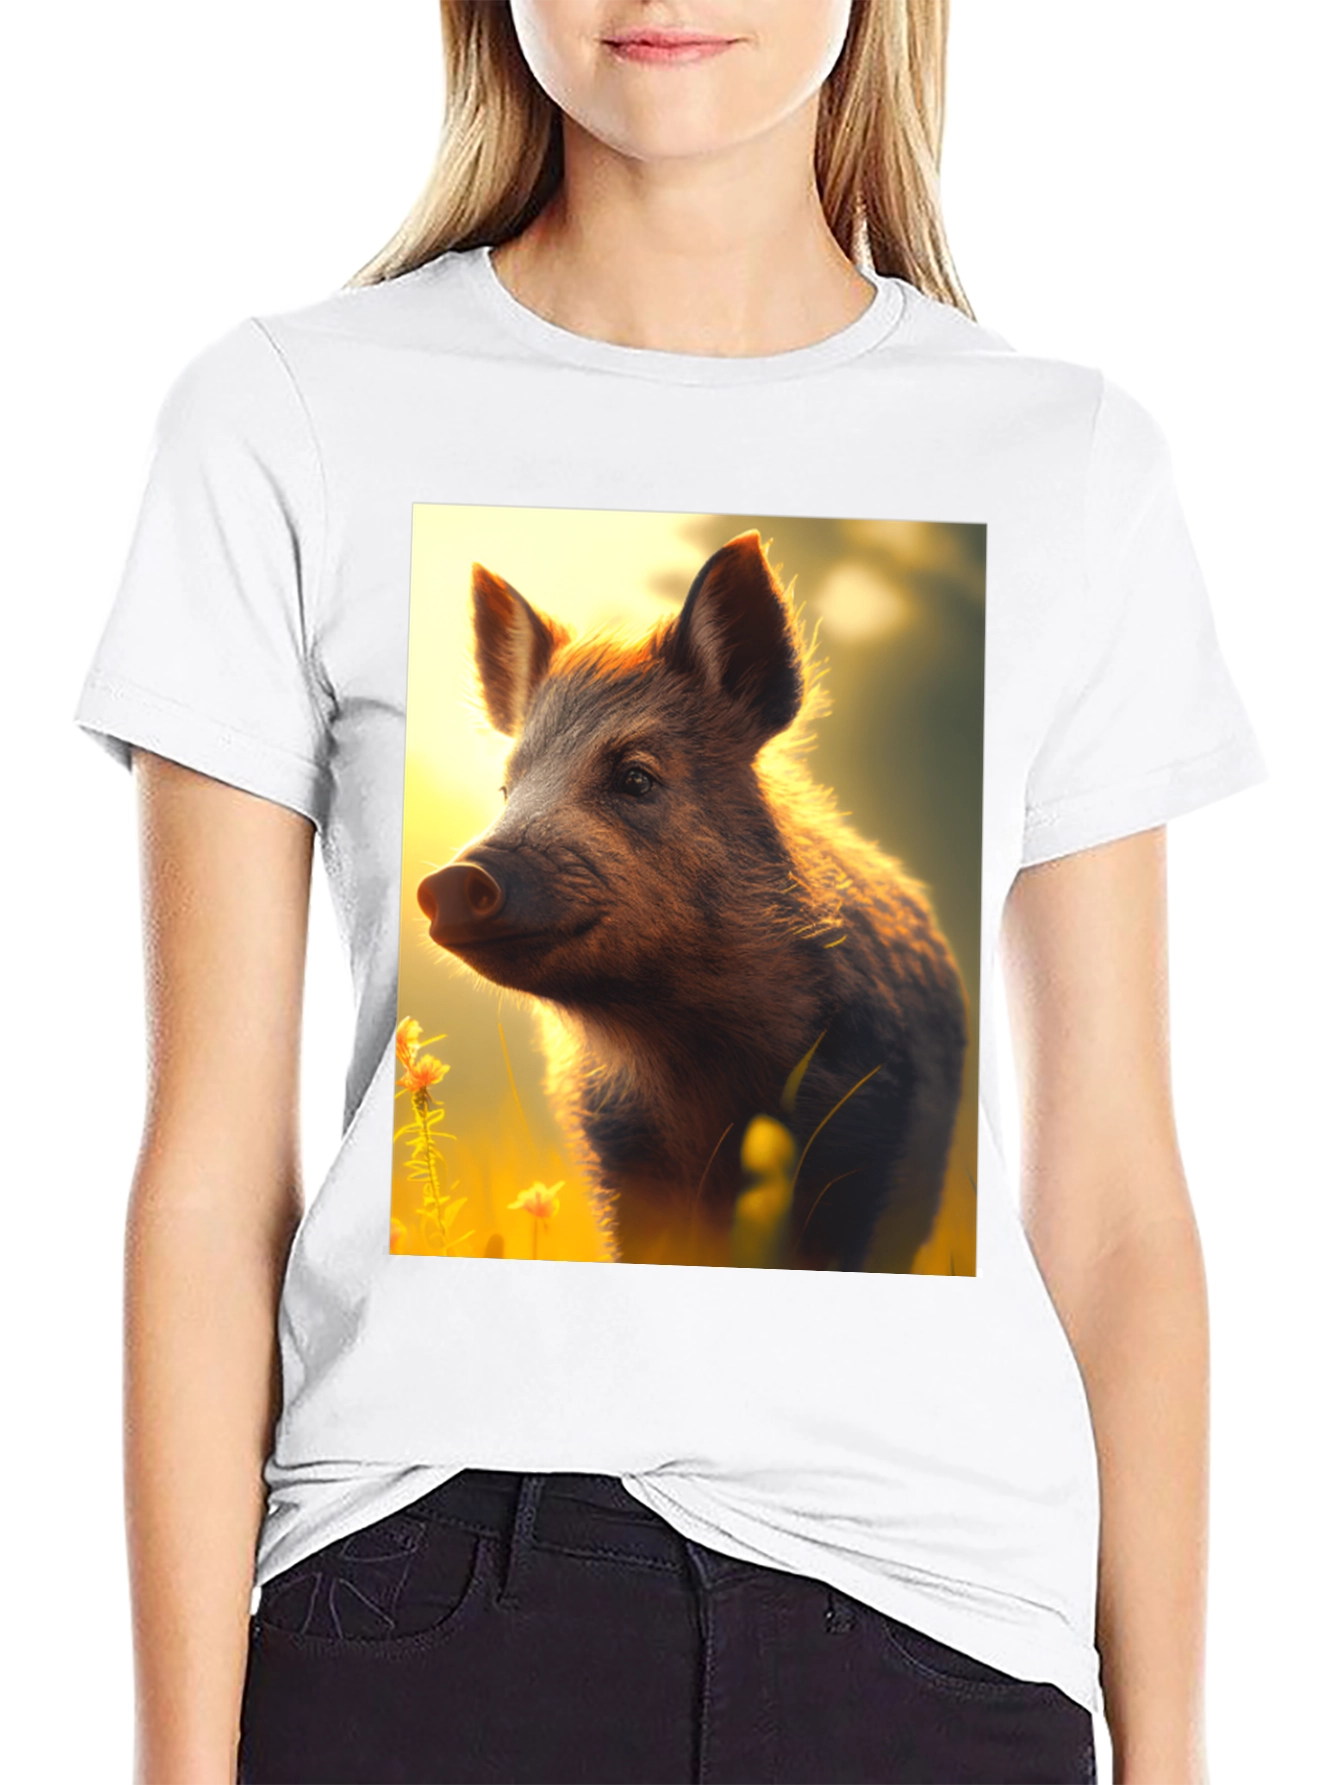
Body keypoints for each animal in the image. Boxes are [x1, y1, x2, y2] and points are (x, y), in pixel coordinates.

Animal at [416, 530, 968, 1271]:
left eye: (636, 776)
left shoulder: (867, 1142)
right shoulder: (616, 1158)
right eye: (508, 788)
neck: (692, 1067)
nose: (449, 880)